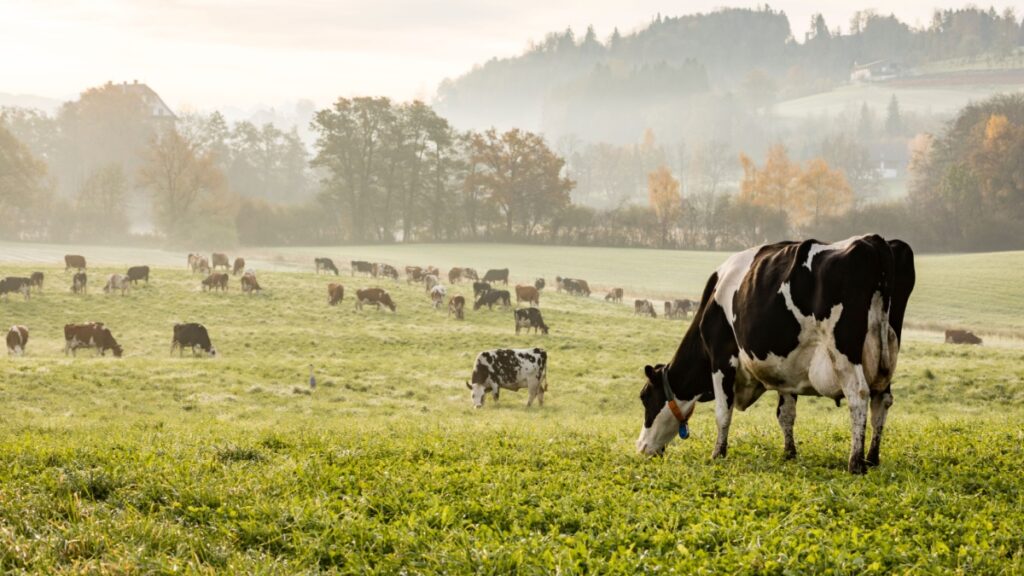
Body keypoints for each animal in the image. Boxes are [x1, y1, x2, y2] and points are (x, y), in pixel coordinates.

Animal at [634, 235, 917, 473]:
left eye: (645, 397)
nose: (641, 447)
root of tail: (873, 241)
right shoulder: (787, 369)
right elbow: (786, 414)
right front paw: (789, 453)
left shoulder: (721, 358)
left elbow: (722, 412)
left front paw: (717, 454)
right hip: (886, 354)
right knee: (882, 400)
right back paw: (872, 458)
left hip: (845, 352)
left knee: (859, 396)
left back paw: (856, 462)